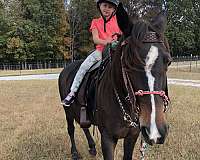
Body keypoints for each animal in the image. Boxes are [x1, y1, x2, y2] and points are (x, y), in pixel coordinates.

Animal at [58, 2, 172, 160]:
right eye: (129, 62)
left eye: (168, 61)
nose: (155, 130)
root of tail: (65, 69)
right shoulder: (107, 138)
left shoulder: (132, 135)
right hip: (67, 110)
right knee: (71, 129)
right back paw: (75, 152)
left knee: (83, 125)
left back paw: (92, 147)